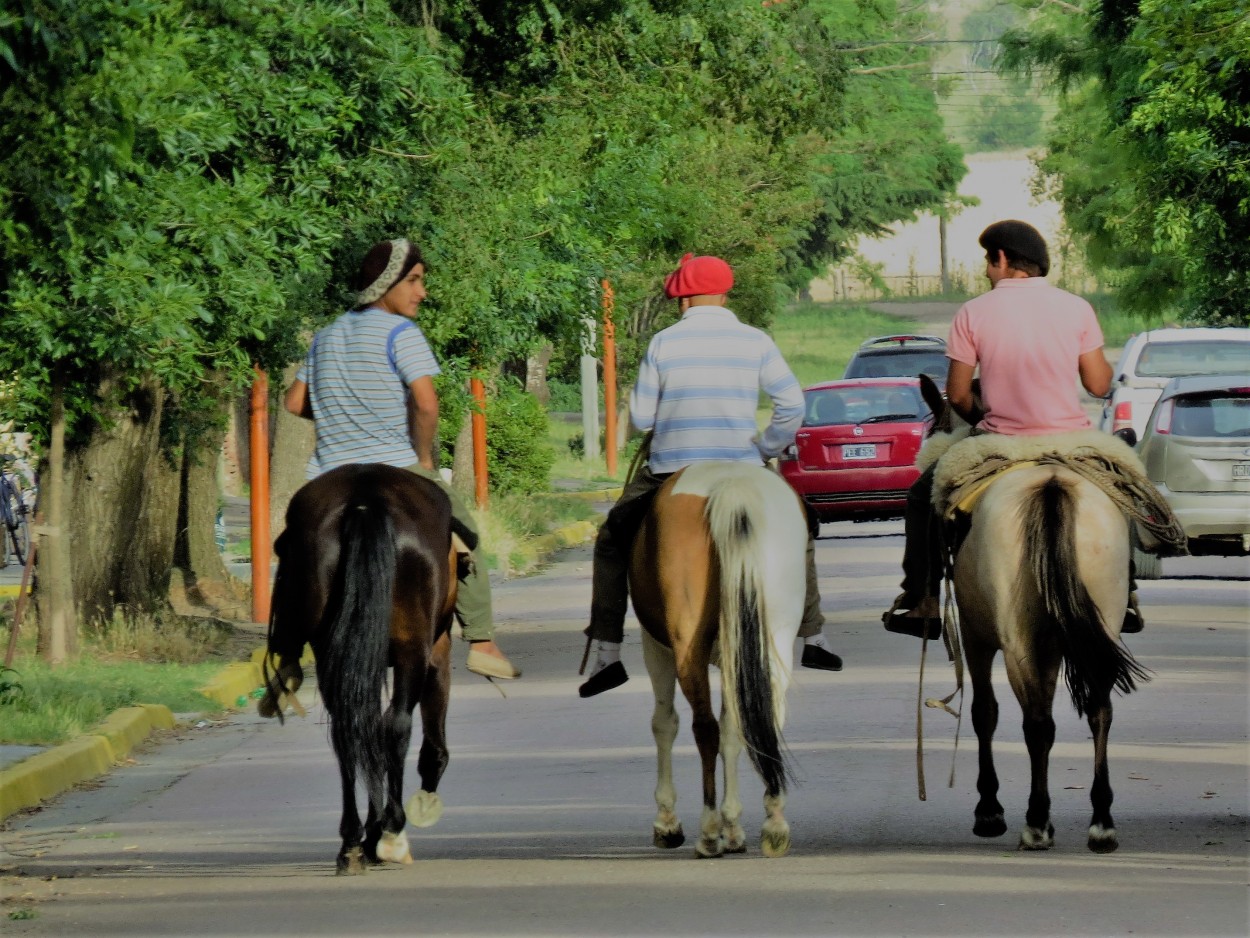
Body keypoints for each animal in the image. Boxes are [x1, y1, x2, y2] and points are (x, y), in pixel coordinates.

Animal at [261, 467, 467, 880]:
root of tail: (366, 500)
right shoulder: (437, 651)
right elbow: (431, 746)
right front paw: (387, 825)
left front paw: (369, 833)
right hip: (412, 650)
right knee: (397, 725)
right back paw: (390, 832)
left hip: (332, 653)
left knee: (350, 731)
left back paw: (352, 843)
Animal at [630, 462, 805, 860]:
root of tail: (730, 485)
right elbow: (733, 731)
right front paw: (735, 827)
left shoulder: (656, 647)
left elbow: (664, 723)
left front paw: (668, 822)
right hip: (774, 633)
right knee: (764, 716)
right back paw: (774, 822)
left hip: (685, 643)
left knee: (703, 727)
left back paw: (708, 831)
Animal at [920, 377, 1150, 855]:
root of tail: (1051, 483)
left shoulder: (976, 636)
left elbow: (984, 712)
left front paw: (989, 809)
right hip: (1098, 624)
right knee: (1098, 710)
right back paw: (1101, 823)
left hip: (1017, 642)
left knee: (1037, 723)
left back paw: (1037, 821)